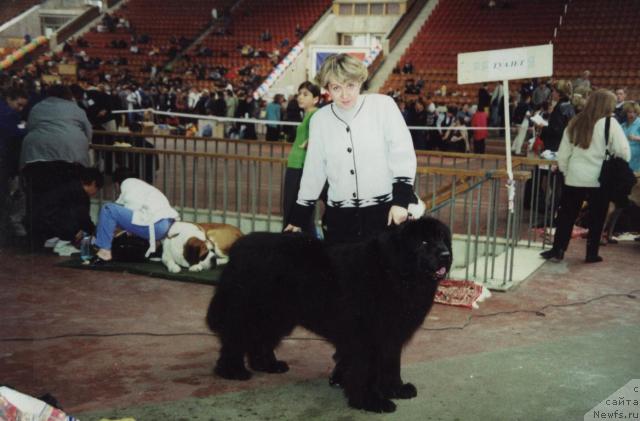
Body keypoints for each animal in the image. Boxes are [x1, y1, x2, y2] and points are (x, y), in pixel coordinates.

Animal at [208, 218, 452, 412]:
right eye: (424, 242)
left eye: (443, 240)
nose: (446, 254)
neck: (396, 272)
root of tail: (239, 246)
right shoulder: (366, 337)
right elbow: (366, 371)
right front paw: (371, 401)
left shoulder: (391, 336)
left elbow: (391, 364)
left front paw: (396, 389)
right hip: (250, 311)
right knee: (235, 339)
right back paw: (232, 371)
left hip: (277, 314)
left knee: (261, 339)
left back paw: (267, 365)